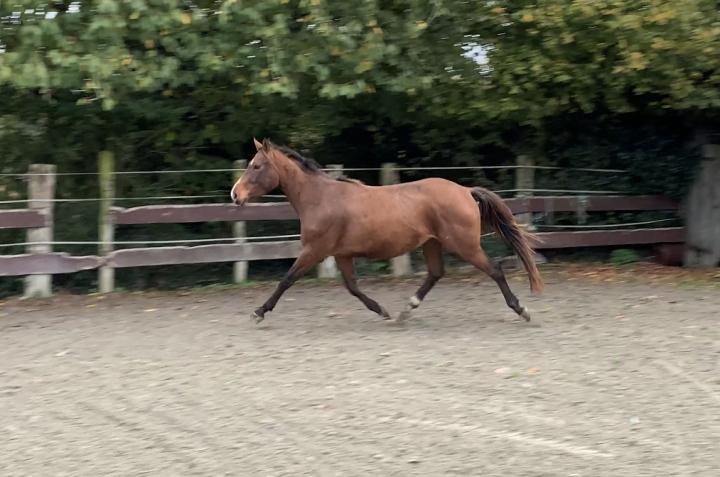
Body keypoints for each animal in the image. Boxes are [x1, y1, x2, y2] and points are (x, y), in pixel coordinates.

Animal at [233, 138, 544, 324]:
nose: (235, 194)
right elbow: (353, 287)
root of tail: (465, 191)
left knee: (495, 270)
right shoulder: (342, 254)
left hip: (463, 245)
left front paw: (259, 312)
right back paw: (406, 310)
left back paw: (522, 310)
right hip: (432, 243)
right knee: (435, 273)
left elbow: (287, 280)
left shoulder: (314, 251)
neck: (320, 198)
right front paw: (382, 310)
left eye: (257, 166)